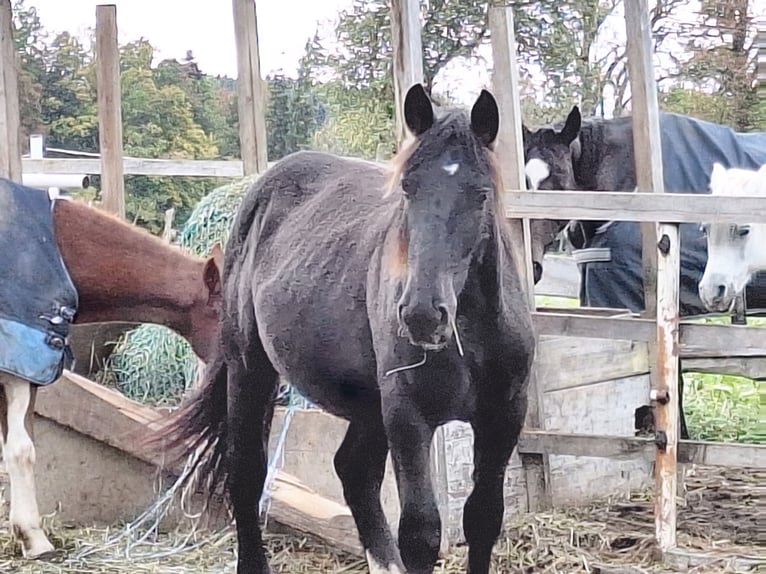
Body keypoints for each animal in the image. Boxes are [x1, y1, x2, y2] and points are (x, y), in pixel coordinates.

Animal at [148, 84, 536, 574]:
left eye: (481, 194)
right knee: (247, 473)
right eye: (407, 187)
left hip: (366, 405)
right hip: (249, 370)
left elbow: (483, 518)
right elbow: (422, 532)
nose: (422, 314)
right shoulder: (408, 416)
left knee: (353, 473)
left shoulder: (504, 415)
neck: (471, 337)